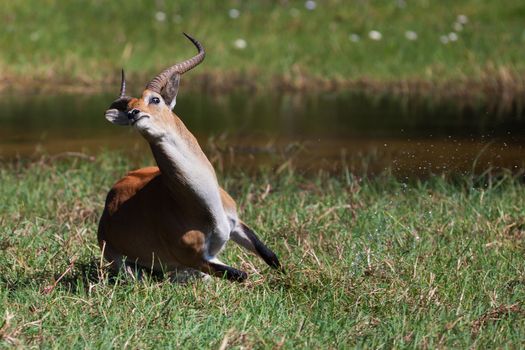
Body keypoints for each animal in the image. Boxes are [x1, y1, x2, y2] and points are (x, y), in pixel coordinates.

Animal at [97, 33, 278, 282]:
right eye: (130, 106)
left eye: (155, 99)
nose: (134, 114)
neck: (203, 207)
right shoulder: (198, 259)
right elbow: (241, 275)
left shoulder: (236, 224)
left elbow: (271, 256)